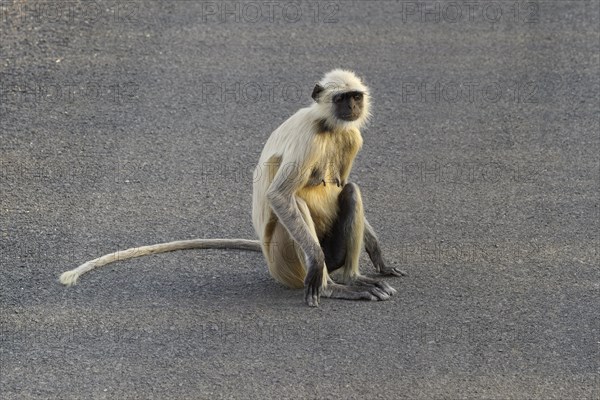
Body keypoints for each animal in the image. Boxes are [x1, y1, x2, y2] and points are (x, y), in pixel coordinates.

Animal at [59, 69, 408, 306]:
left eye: (355, 96)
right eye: (341, 98)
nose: (352, 107)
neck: (328, 126)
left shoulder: (351, 137)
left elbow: (343, 184)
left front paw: (379, 257)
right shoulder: (309, 137)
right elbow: (279, 195)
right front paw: (321, 267)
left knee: (351, 191)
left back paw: (352, 277)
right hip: (284, 261)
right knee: (296, 204)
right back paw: (332, 285)